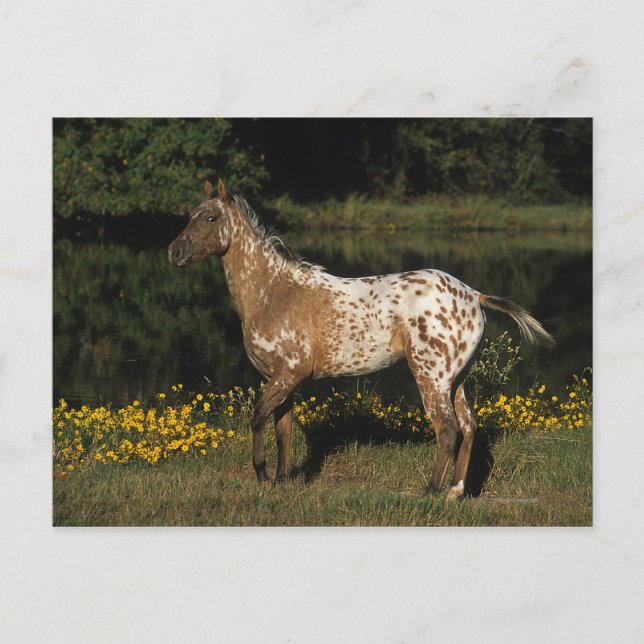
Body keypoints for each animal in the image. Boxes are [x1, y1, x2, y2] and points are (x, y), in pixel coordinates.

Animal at [168, 180, 555, 499]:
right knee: (469, 427)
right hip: (456, 380)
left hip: (431, 377)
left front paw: (262, 476)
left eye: (212, 218)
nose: (175, 252)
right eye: (190, 216)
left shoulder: (286, 376)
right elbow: (283, 430)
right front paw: (280, 481)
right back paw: (455, 491)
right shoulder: (283, 379)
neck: (272, 292)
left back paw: (430, 491)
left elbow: (258, 418)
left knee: (447, 429)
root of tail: (474, 295)